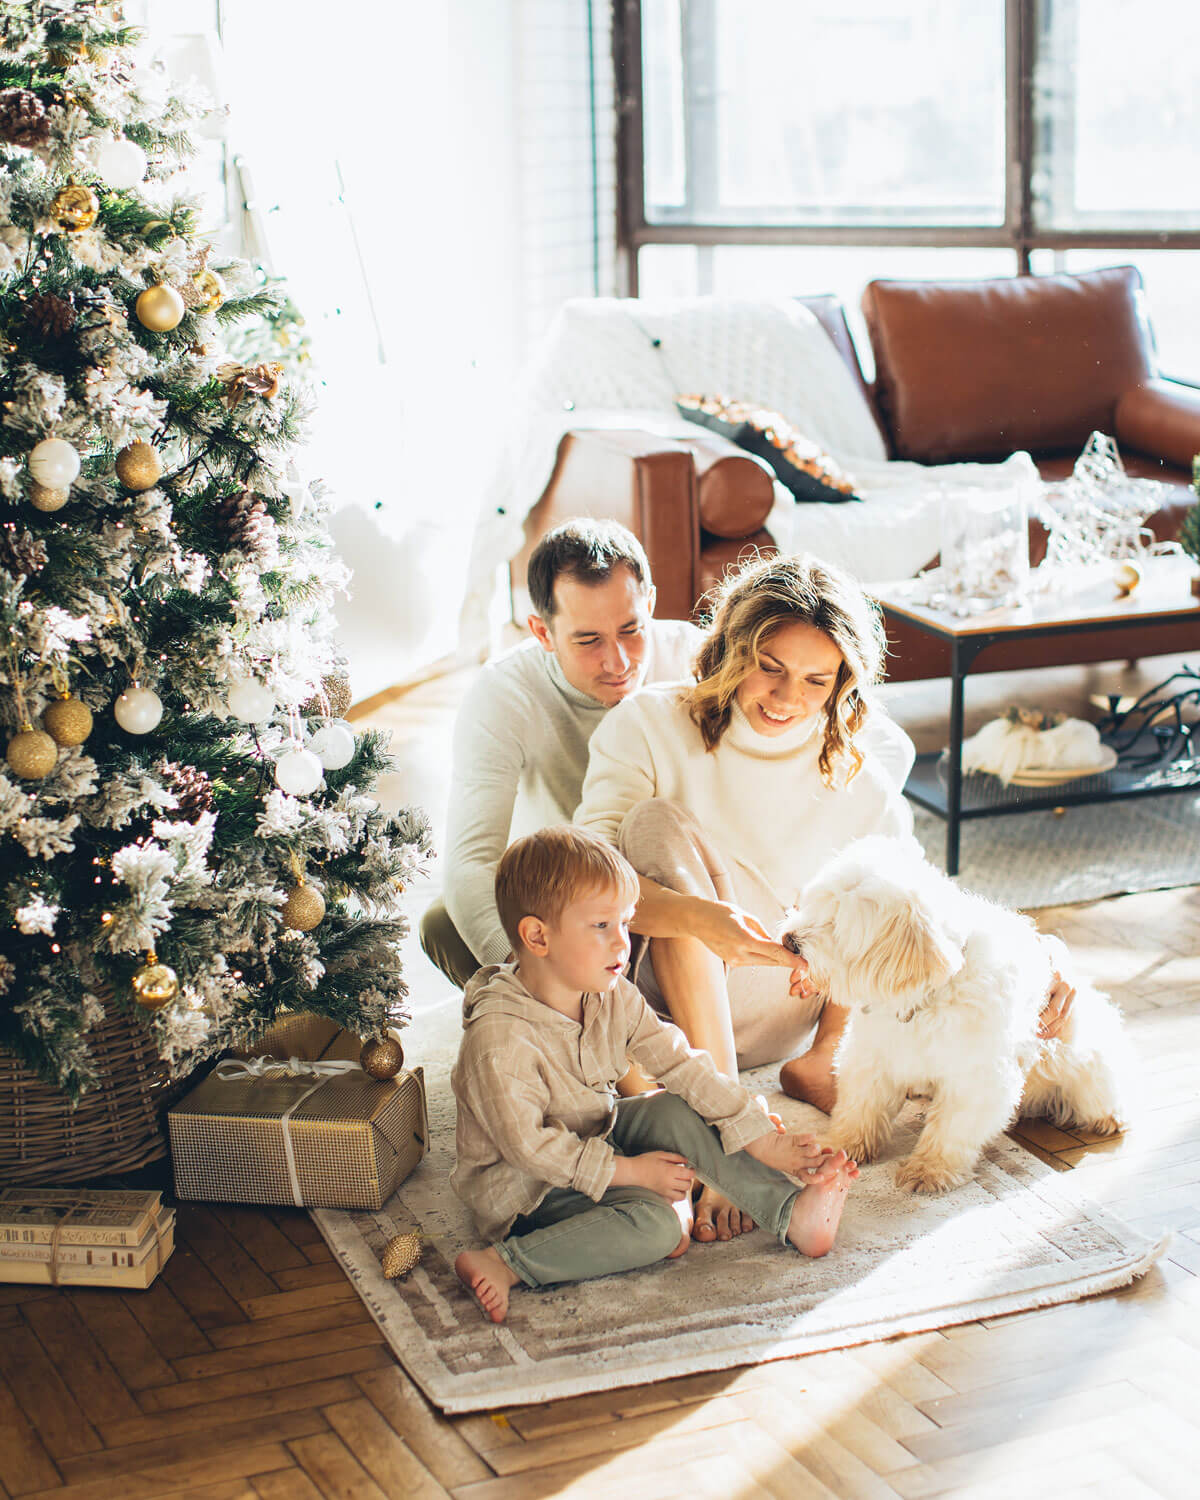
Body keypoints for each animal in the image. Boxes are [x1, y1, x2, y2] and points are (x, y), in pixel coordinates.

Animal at [780, 834, 1128, 1194]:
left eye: (836, 926)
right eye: (813, 905)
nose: (789, 941)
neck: (926, 1000)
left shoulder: (977, 1077)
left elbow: (951, 1128)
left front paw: (929, 1169)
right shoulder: (871, 1055)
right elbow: (859, 1107)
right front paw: (841, 1145)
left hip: (1085, 1064)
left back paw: (1108, 1116)